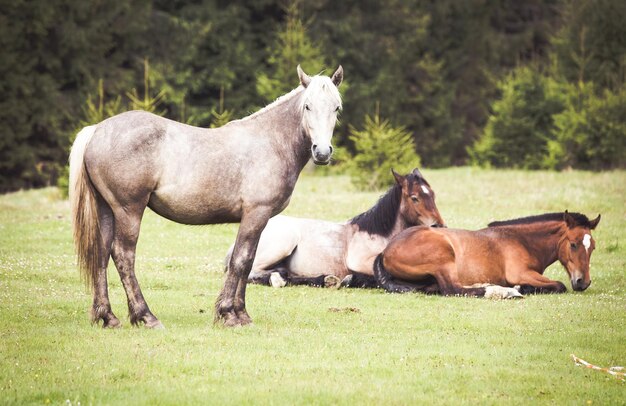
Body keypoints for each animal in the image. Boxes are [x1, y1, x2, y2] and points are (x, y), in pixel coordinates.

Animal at [69, 66, 342, 326]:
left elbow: (248, 262)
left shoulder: (258, 220)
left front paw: (242, 314)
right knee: (124, 256)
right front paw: (229, 314)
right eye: (307, 106)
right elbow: (240, 261)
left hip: (107, 209)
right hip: (129, 210)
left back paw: (108, 317)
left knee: (101, 254)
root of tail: (96, 130)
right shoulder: (256, 214)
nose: (322, 152)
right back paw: (146, 316)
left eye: (337, 108)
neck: (271, 142)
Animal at [236, 168, 442, 288]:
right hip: (282, 245)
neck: (377, 234)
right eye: (414, 198)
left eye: (432, 195)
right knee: (253, 273)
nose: (439, 226)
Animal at [372, 211, 596, 296]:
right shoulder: (521, 273)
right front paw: (521, 288)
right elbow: (558, 285)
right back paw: (496, 290)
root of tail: (385, 252)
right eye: (573, 244)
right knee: (452, 289)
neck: (521, 241)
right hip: (444, 256)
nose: (583, 282)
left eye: (592, 247)